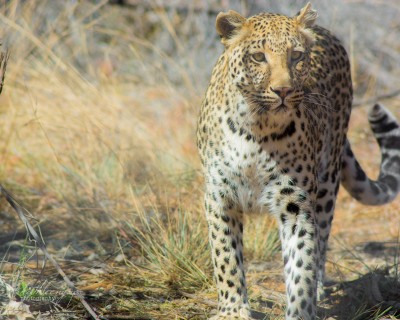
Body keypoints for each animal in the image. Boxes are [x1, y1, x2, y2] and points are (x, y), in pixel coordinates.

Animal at [196, 3, 400, 320]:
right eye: (259, 57)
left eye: (297, 56)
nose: (283, 91)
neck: (257, 128)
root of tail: (325, 31)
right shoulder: (220, 197)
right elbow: (226, 257)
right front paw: (232, 310)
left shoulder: (296, 204)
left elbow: (302, 263)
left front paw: (301, 308)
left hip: (327, 182)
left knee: (322, 241)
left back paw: (319, 287)